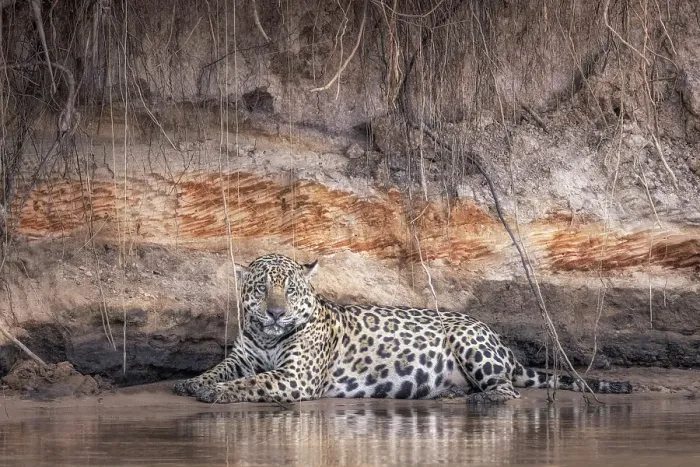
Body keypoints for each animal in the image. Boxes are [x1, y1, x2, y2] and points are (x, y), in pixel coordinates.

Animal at [173, 253, 632, 404]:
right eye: (262, 287)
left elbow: (252, 383)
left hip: (469, 343)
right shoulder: (244, 357)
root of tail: (500, 342)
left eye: (290, 289)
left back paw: (479, 400)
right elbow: (221, 369)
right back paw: (451, 394)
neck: (267, 337)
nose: (274, 313)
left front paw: (216, 393)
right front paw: (192, 382)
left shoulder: (295, 378)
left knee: (506, 390)